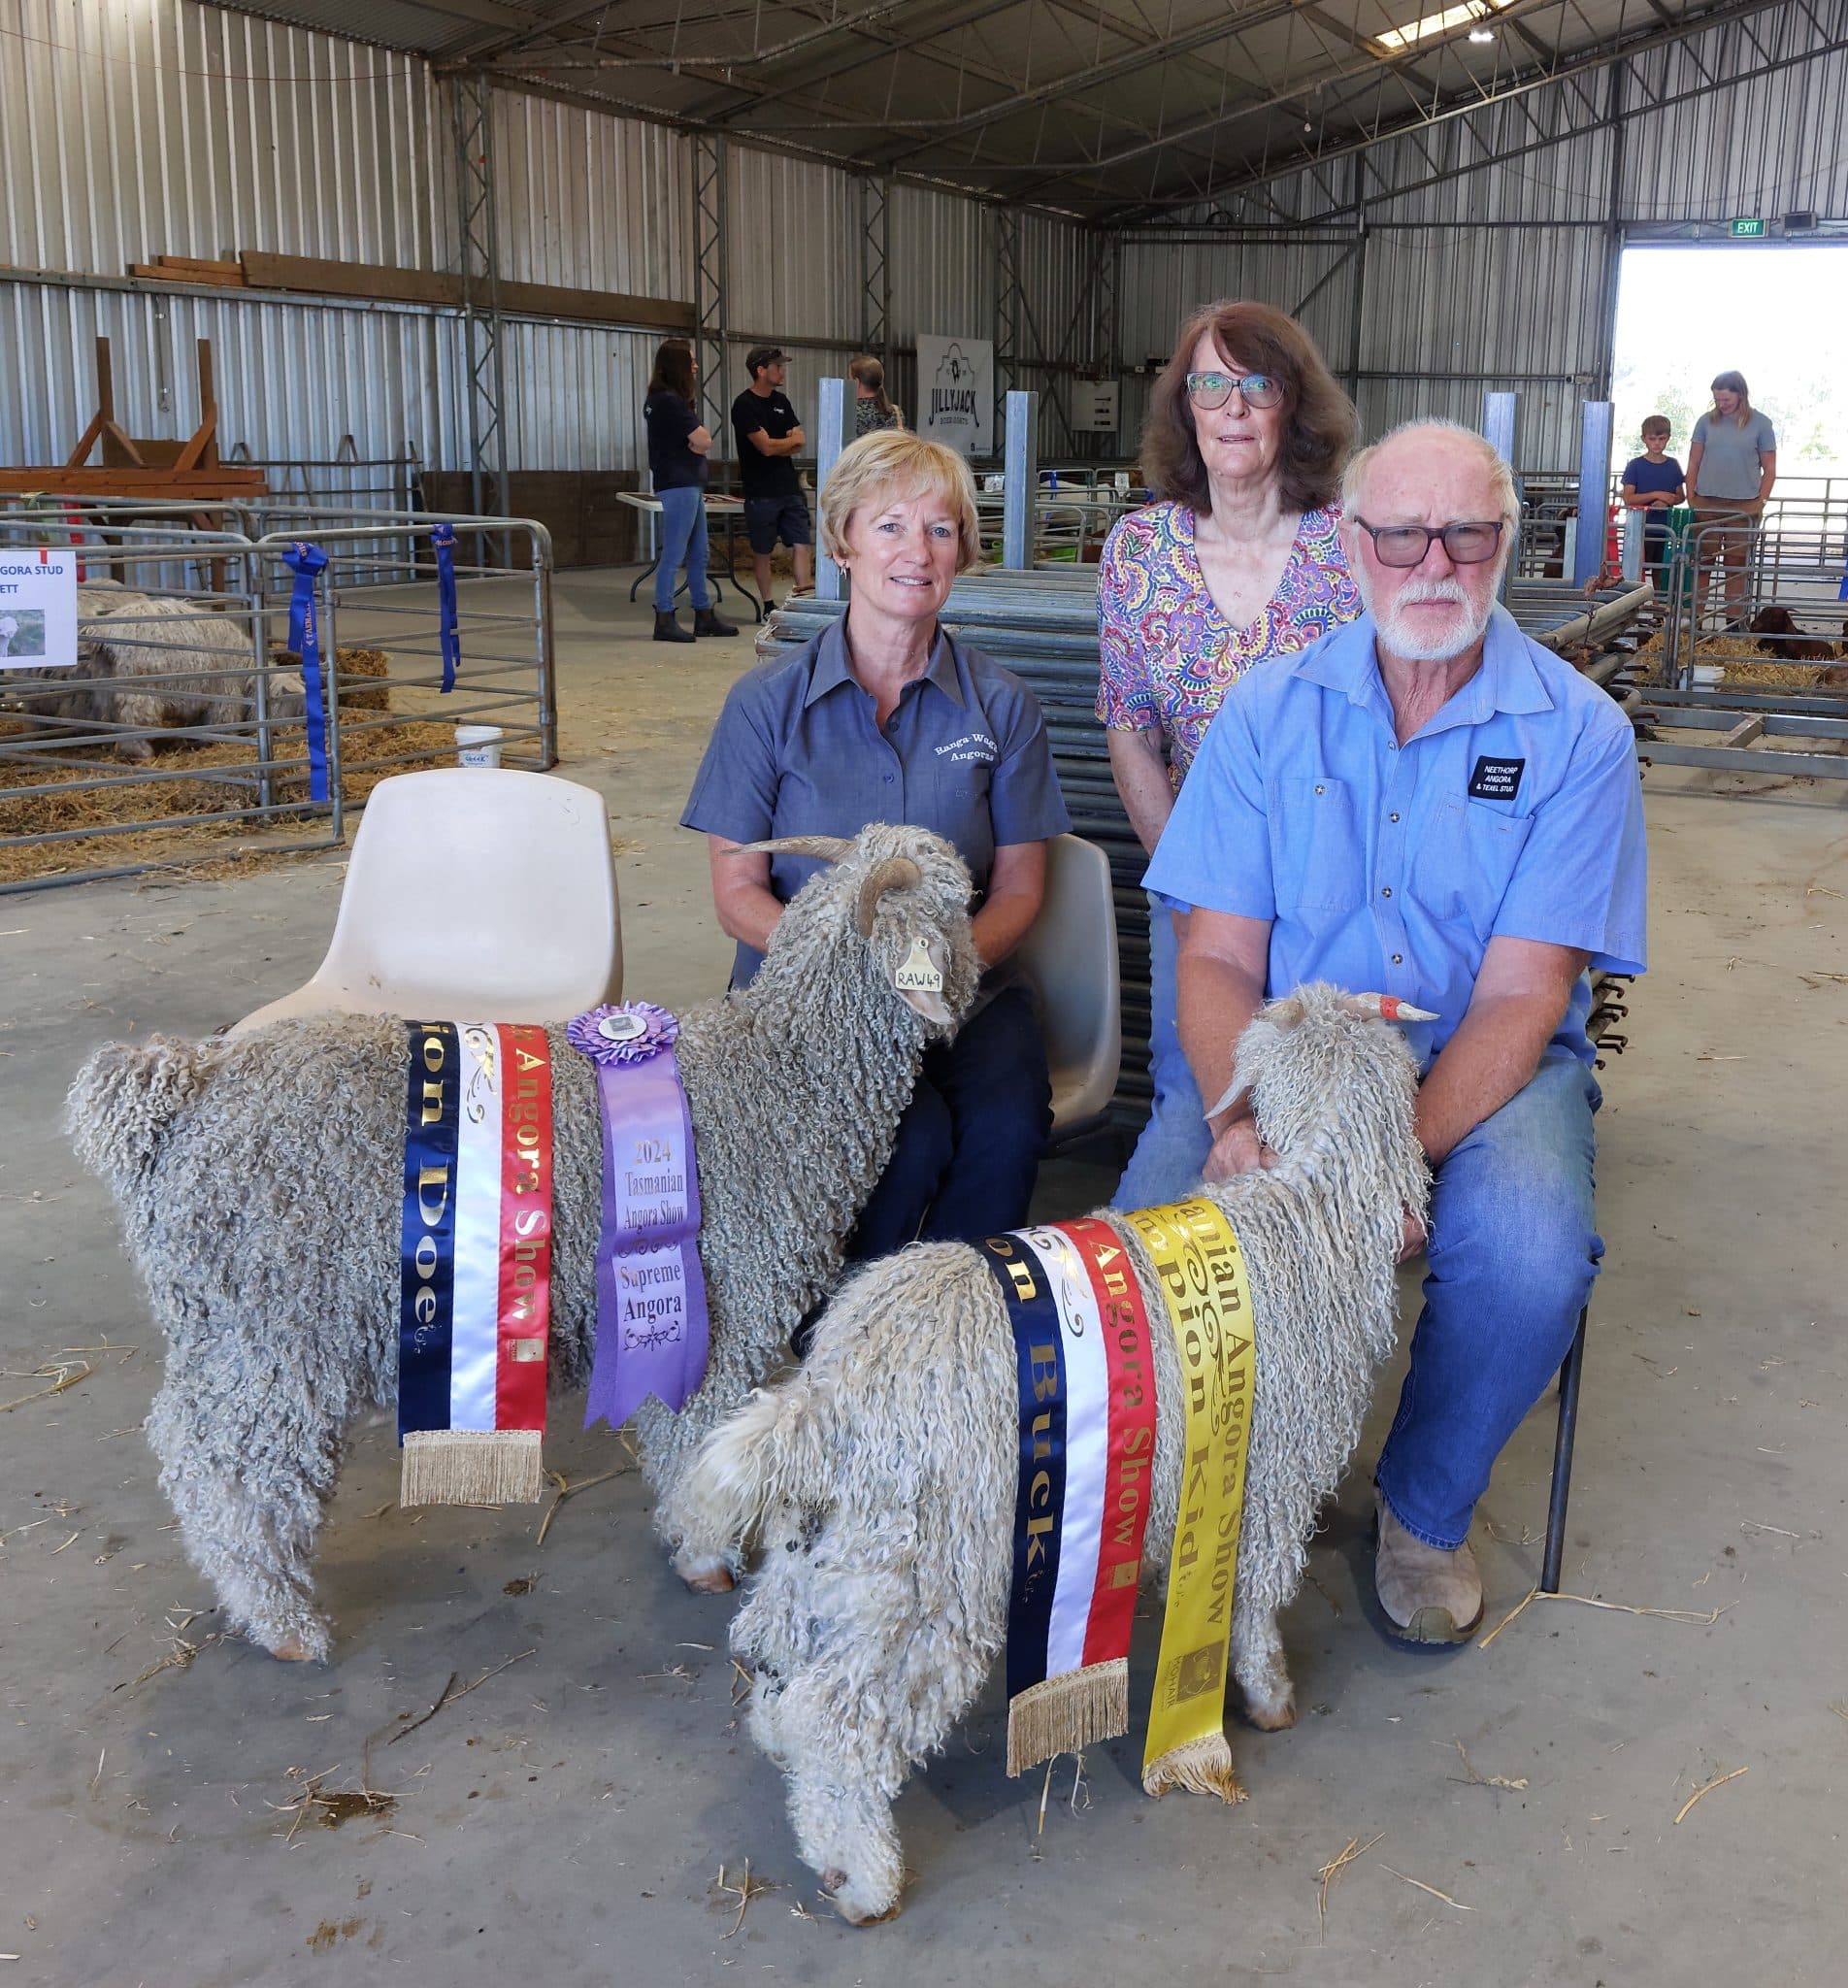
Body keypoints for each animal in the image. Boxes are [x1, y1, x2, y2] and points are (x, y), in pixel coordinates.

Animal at [70, 822, 985, 1662]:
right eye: (953, 909)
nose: (979, 984)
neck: (778, 1080)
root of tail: (179, 1089)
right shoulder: (716, 1315)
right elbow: (696, 1442)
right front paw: (707, 1557)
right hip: (269, 1328)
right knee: (224, 1464)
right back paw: (283, 1624)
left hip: (222, 1329)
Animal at [683, 985, 1431, 1916]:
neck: (1309, 1211)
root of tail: (835, 1390)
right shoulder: (1271, 1482)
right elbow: (1256, 1602)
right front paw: (1268, 1698)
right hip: (935, 1570)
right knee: (840, 1719)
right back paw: (862, 1877)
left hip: (838, 1553)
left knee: (777, 1661)